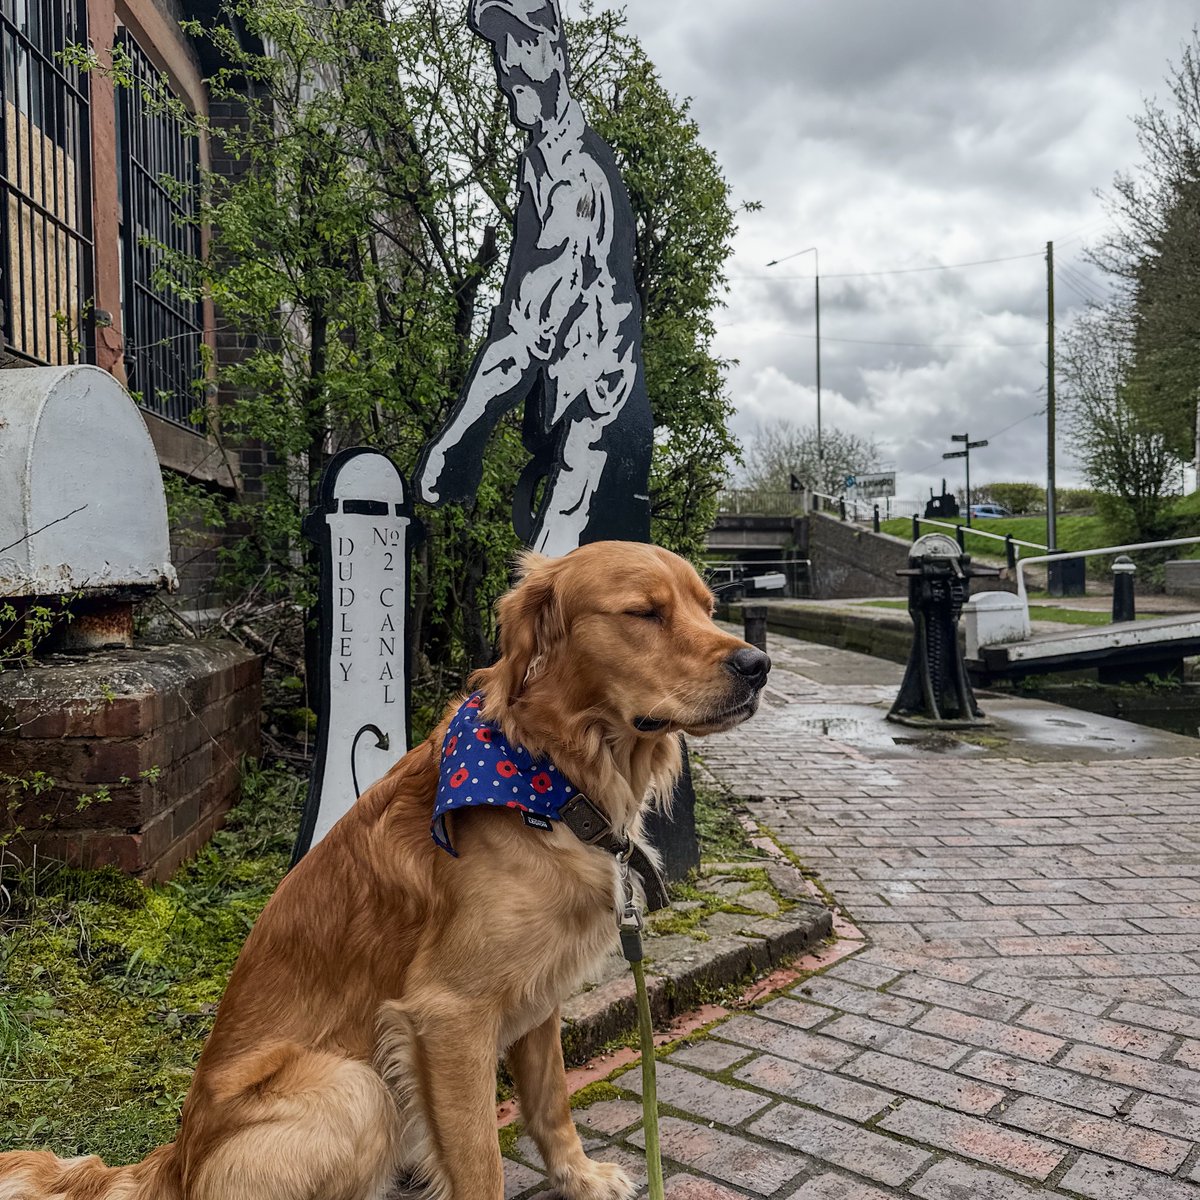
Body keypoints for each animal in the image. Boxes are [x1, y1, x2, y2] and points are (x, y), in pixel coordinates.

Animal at [2, 544, 768, 1200]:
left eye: (708, 606)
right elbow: (480, 1164)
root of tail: (176, 1163)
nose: (758, 664)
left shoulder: (539, 997)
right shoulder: (448, 1015)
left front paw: (578, 1177)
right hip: (355, 1085)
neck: (549, 776)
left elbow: (551, 1103)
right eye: (644, 612)